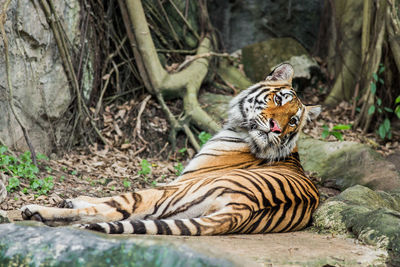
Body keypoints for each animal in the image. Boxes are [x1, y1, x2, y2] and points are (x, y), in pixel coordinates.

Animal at [21, 63, 322, 237]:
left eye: (293, 120)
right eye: (278, 99)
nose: (276, 128)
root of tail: (244, 209)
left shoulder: (179, 180)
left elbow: (107, 200)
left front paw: (69, 200)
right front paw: (73, 198)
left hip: (166, 194)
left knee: (112, 212)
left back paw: (36, 211)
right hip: (180, 212)